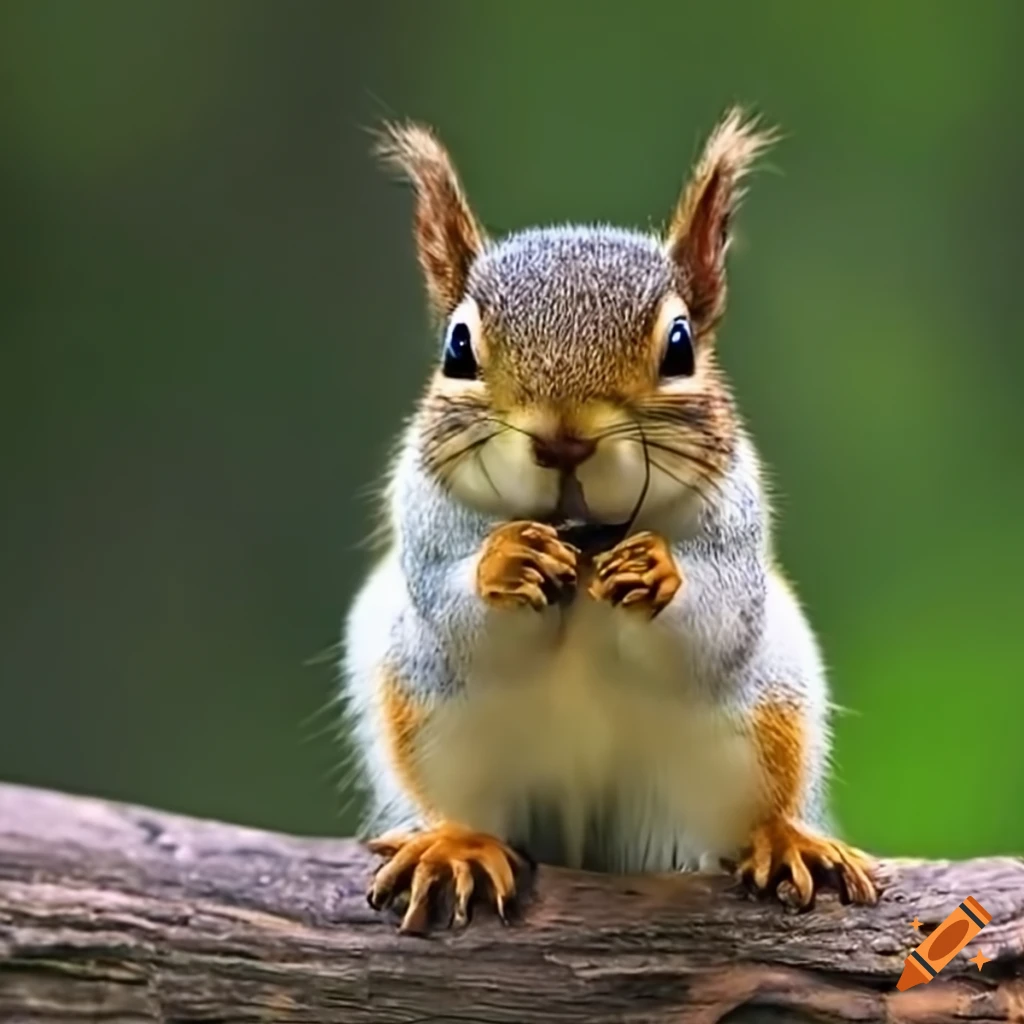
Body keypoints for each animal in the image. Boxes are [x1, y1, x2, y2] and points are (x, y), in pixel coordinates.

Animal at [342, 108, 877, 934]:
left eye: (680, 345)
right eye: (458, 348)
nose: (564, 440)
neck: (587, 536)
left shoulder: (737, 524)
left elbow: (718, 613)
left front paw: (655, 571)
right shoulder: (424, 522)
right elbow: (452, 604)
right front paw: (508, 562)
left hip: (756, 721)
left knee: (744, 812)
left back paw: (785, 839)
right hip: (434, 717)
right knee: (469, 802)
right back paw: (457, 845)